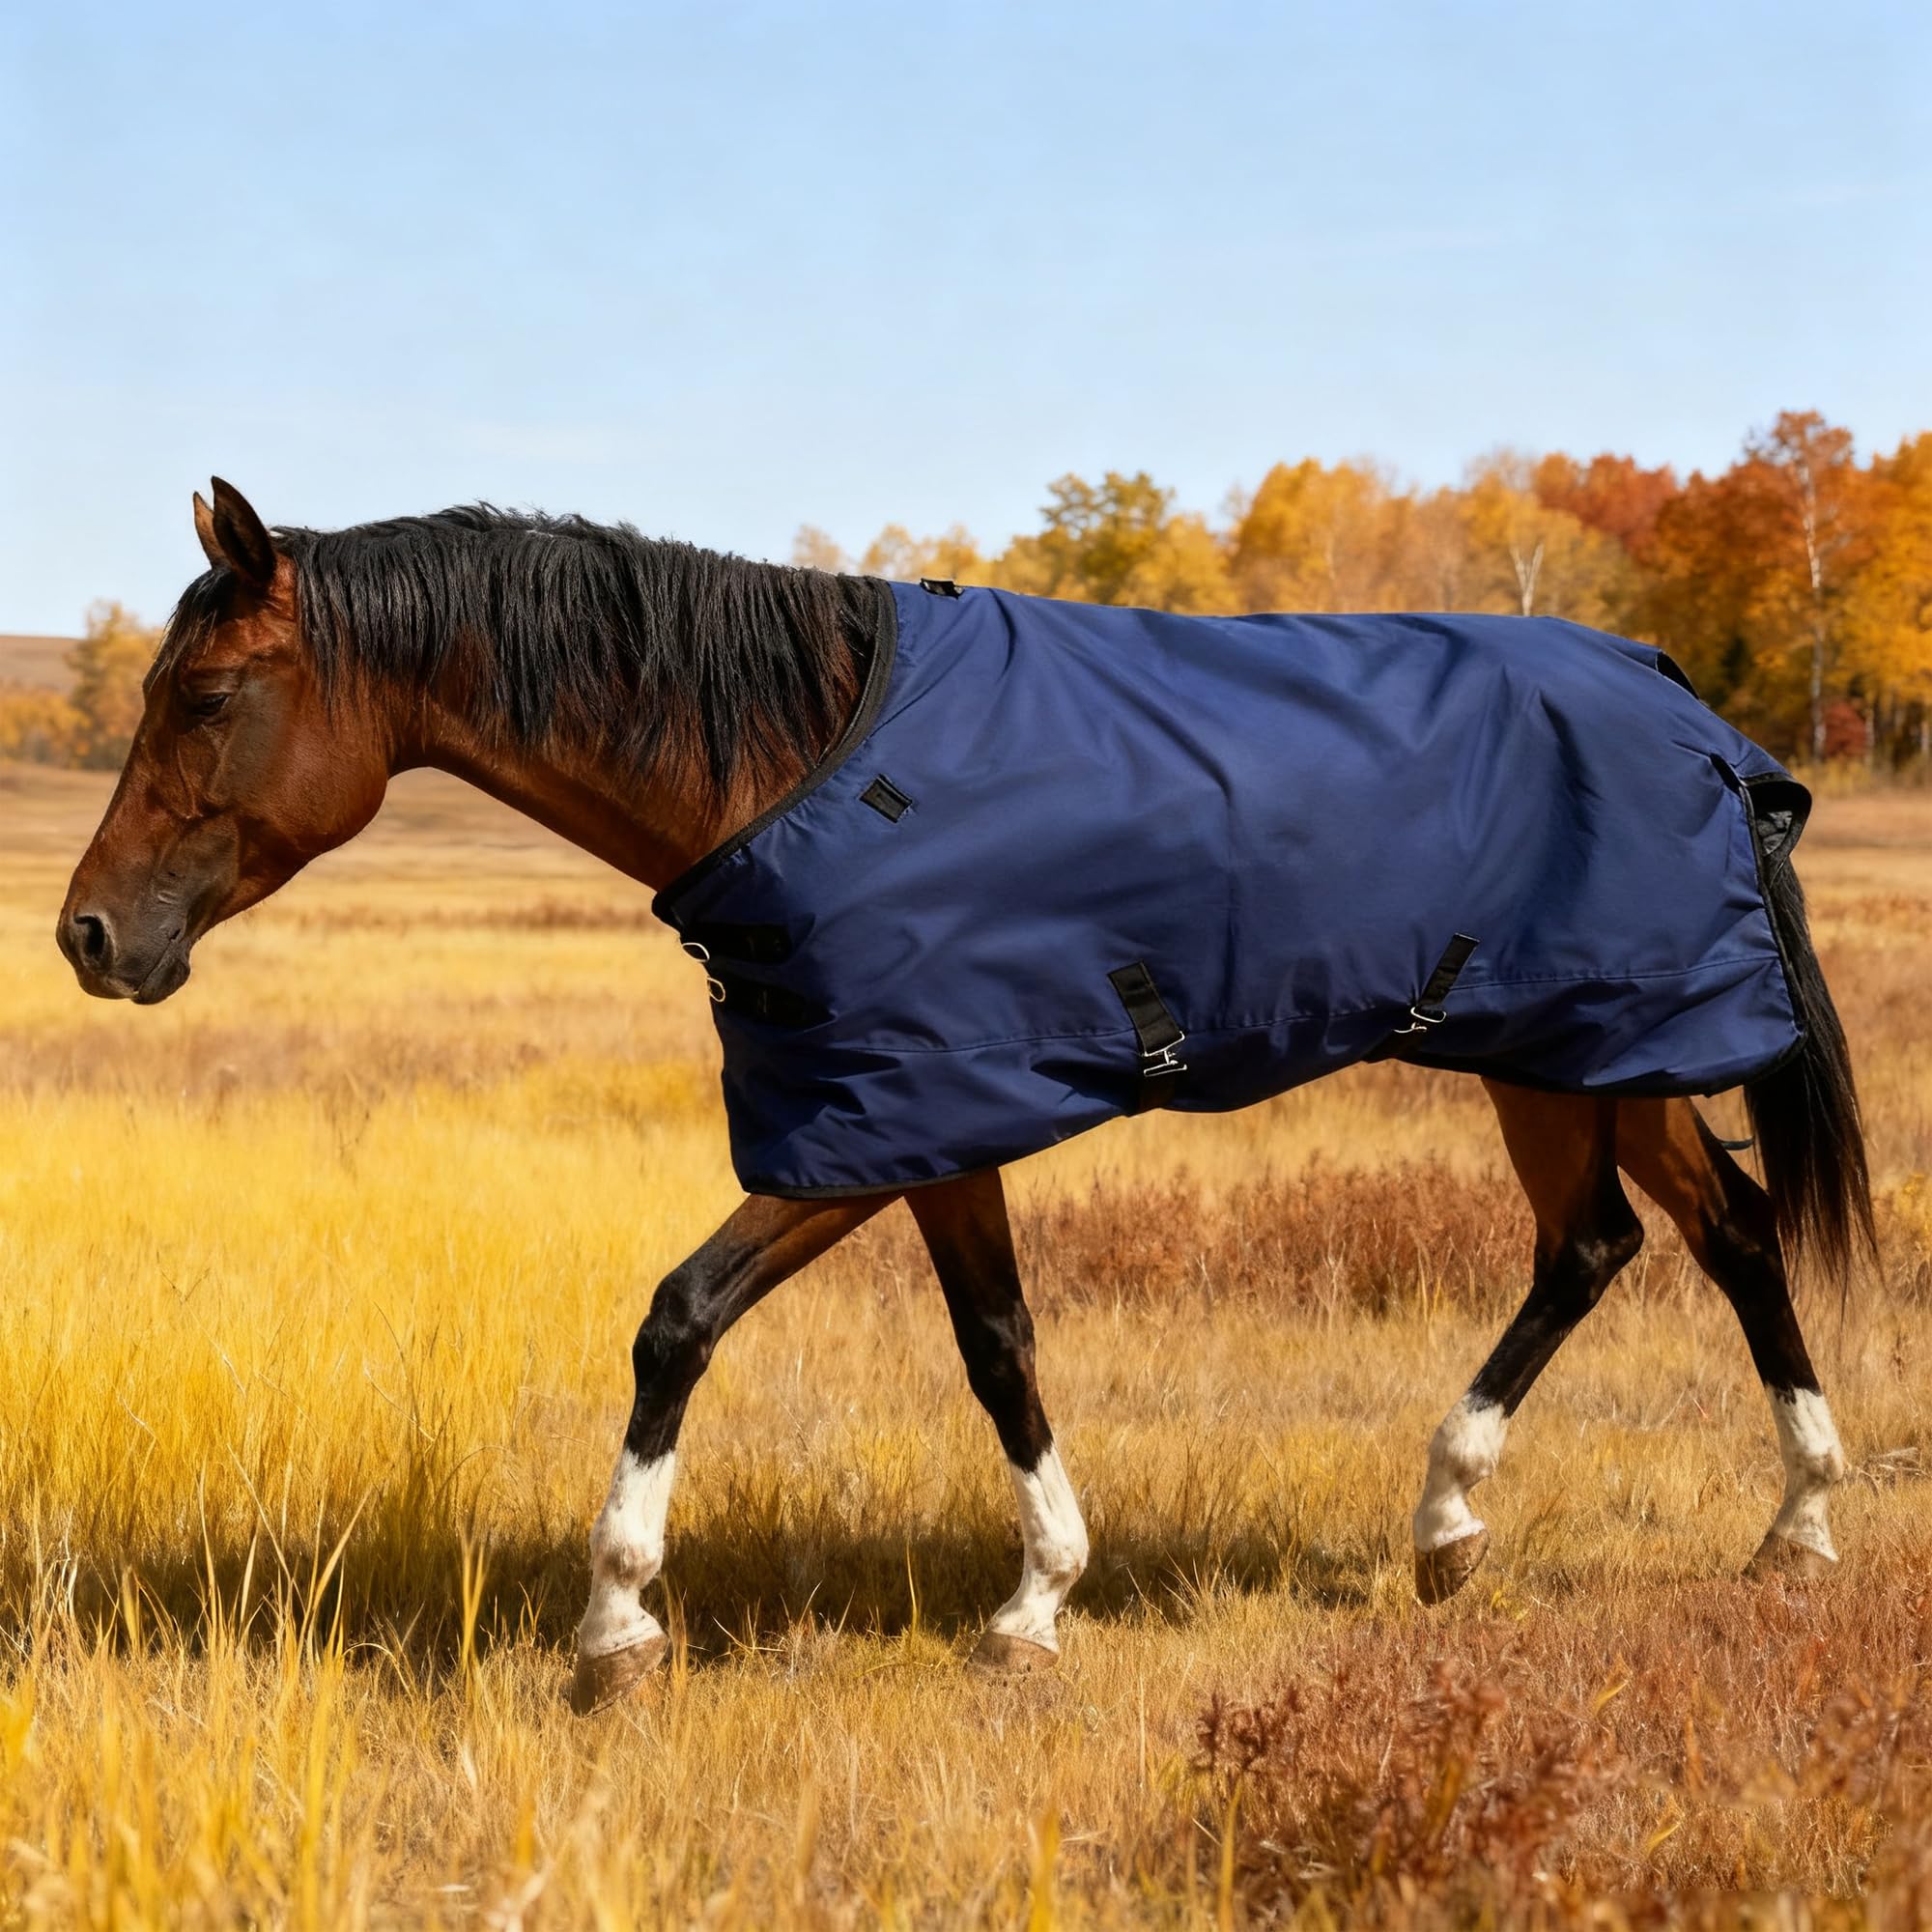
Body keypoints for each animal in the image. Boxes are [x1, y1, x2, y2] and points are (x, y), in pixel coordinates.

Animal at [60, 480, 1873, 1716]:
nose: (87, 936)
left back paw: (1748, 1518)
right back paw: (1510, 1525)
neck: (795, 762)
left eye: (203, 699)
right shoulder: (922, 1127)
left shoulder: (873, 1130)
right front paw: (1031, 1596)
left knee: (1690, 1236)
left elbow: (685, 1318)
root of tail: (1691, 707)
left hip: (1591, 1045)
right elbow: (987, 1340)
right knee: (1642, 1240)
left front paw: (623, 1621)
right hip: (1568, 1055)